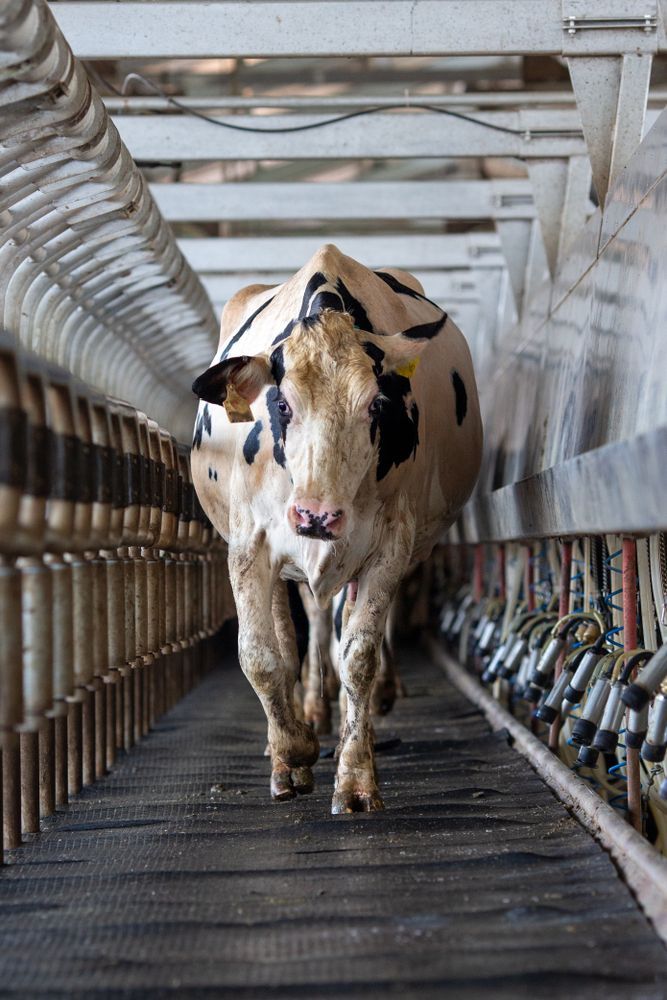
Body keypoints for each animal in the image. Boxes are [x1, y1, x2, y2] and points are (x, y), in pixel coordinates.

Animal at [191, 244, 482, 814]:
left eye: (377, 404)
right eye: (282, 403)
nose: (317, 515)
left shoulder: (389, 545)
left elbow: (359, 655)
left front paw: (355, 776)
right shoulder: (249, 546)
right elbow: (260, 657)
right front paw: (292, 752)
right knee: (293, 634)